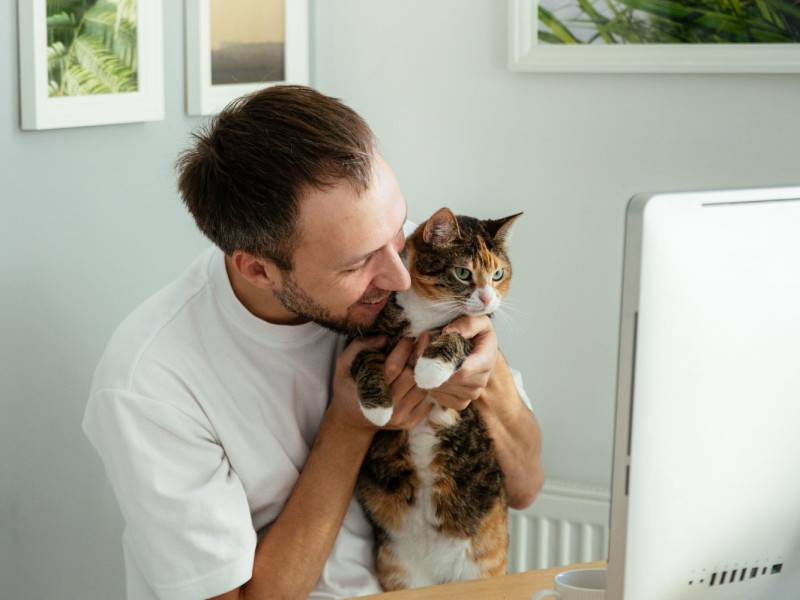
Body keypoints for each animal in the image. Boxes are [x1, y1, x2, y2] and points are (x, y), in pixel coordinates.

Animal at [354, 206, 520, 592]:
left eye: (498, 274)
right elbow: (366, 361)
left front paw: (429, 368)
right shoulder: (368, 339)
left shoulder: (477, 332)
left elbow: (458, 336)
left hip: (484, 566)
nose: (487, 298)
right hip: (398, 569)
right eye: (463, 272)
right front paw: (378, 409)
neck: (426, 314)